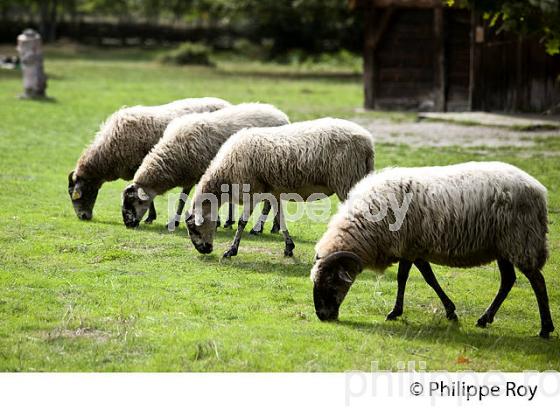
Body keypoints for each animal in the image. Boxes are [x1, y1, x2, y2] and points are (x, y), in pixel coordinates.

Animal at [121, 102, 288, 229]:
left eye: (133, 201)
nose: (128, 224)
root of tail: (281, 115)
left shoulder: (200, 173)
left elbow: (188, 198)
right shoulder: (191, 175)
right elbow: (183, 198)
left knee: (270, 201)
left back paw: (260, 228)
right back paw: (273, 227)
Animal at [187, 118, 376, 258]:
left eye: (193, 229)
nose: (204, 250)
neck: (224, 173)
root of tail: (368, 143)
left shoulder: (252, 191)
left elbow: (242, 222)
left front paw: (231, 251)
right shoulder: (273, 192)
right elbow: (280, 217)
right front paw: (289, 247)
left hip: (347, 180)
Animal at [310, 162, 556, 338]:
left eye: (331, 282)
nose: (322, 317)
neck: (369, 227)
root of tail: (539, 190)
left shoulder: (409, 246)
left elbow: (407, 278)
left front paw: (396, 312)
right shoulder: (415, 248)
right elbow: (425, 277)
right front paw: (449, 311)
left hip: (520, 240)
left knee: (537, 281)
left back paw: (545, 329)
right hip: (503, 246)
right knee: (508, 280)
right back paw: (485, 319)